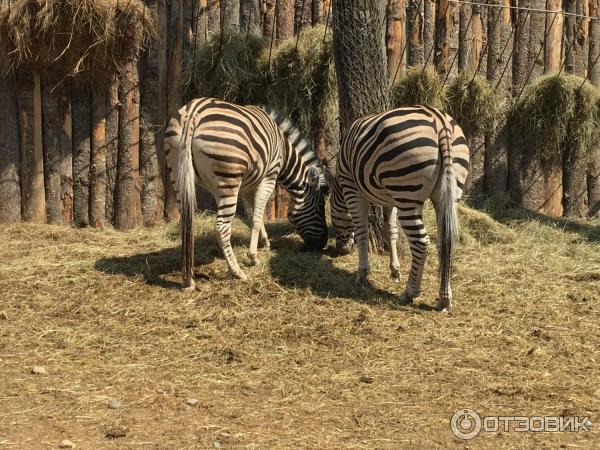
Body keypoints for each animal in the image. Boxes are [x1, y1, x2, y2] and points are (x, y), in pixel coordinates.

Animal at [165, 97, 328, 290]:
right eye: (319, 208)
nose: (321, 245)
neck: (284, 152)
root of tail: (193, 112)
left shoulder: (247, 186)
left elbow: (254, 216)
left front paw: (265, 243)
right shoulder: (268, 177)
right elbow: (257, 218)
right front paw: (253, 257)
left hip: (177, 173)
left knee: (186, 224)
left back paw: (188, 278)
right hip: (229, 178)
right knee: (221, 227)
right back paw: (237, 272)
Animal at [330, 106, 472, 312]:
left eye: (333, 220)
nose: (340, 251)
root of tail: (440, 122)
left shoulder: (352, 190)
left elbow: (362, 232)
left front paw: (362, 275)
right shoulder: (390, 199)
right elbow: (390, 231)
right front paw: (395, 270)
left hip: (407, 193)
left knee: (421, 242)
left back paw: (410, 293)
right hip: (445, 193)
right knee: (446, 241)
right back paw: (444, 298)